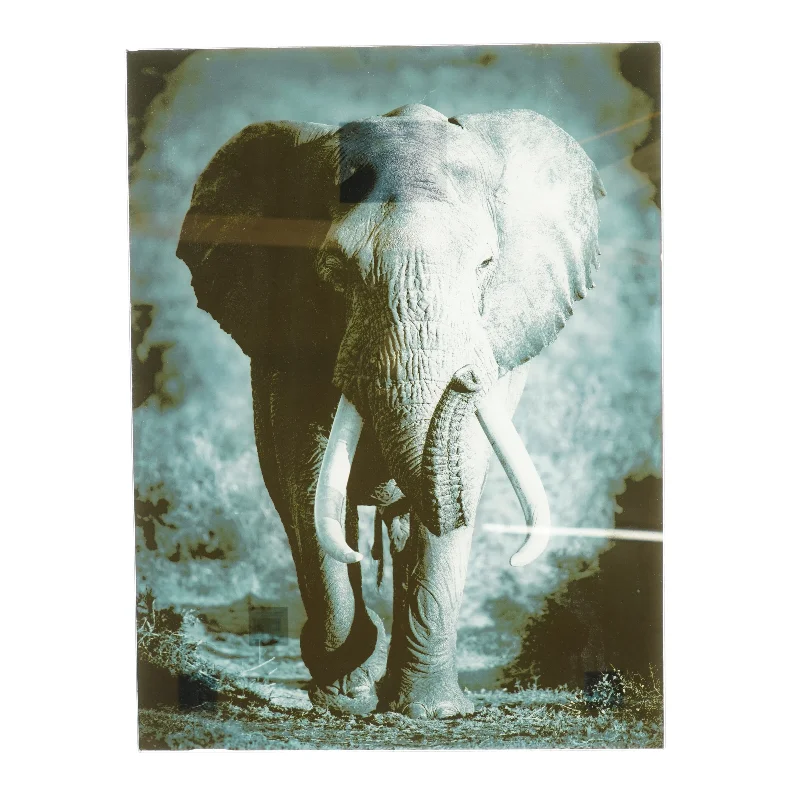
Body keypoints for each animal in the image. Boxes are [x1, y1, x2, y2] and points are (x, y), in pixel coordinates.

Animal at [176, 103, 604, 718]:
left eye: (486, 264)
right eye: (334, 267)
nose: (467, 377)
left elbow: (462, 473)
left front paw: (431, 712)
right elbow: (308, 477)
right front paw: (349, 697)